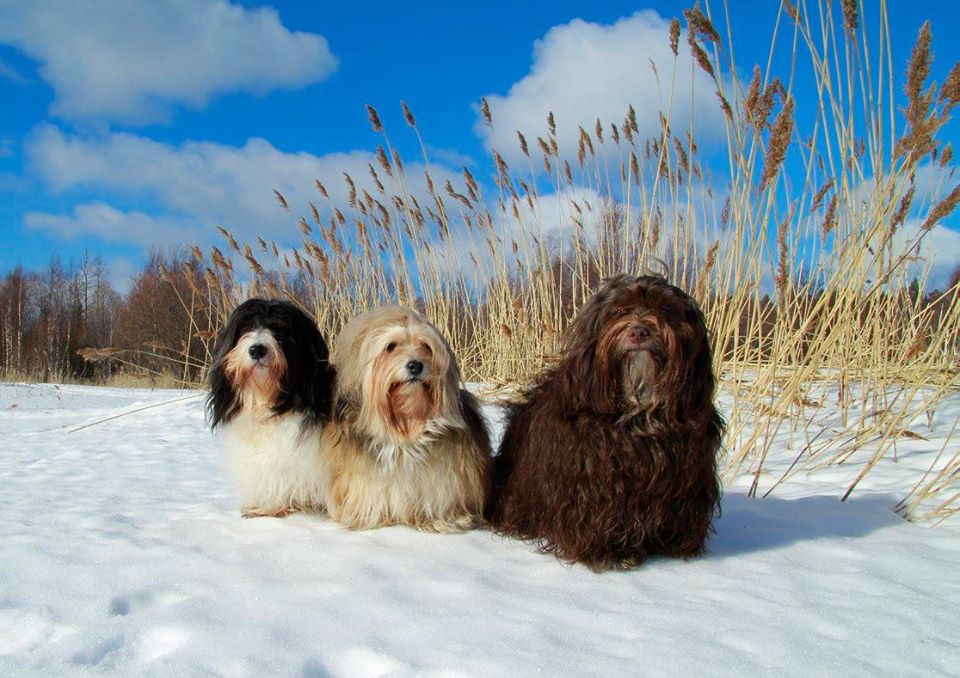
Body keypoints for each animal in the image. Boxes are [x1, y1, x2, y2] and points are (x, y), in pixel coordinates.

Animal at [488, 274, 720, 572]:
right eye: (619, 311)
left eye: (665, 310)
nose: (639, 332)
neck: (639, 413)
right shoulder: (591, 479)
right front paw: (605, 552)